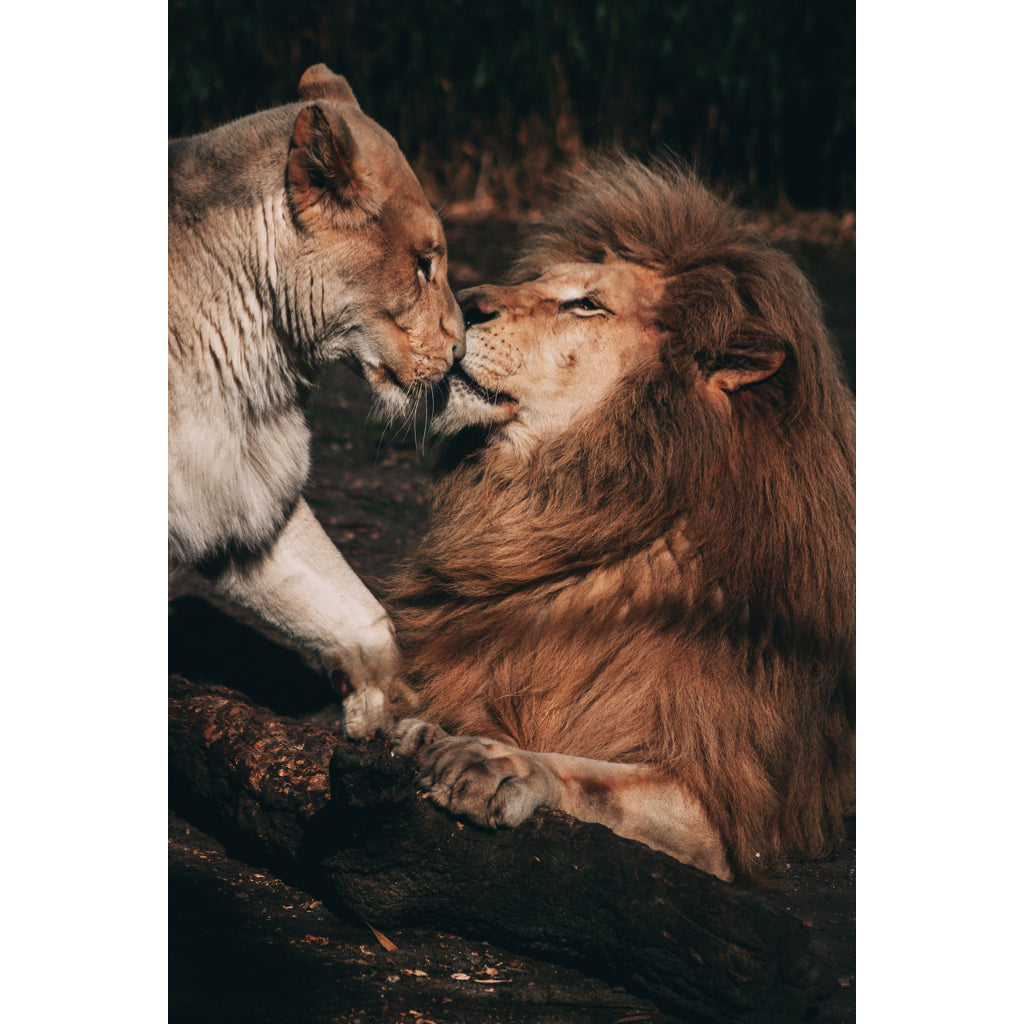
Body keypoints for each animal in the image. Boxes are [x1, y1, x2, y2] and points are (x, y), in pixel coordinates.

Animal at [388, 157, 855, 883]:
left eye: (587, 303)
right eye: (539, 281)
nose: (462, 301)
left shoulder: (724, 812)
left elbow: (592, 775)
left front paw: (491, 761)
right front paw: (421, 730)